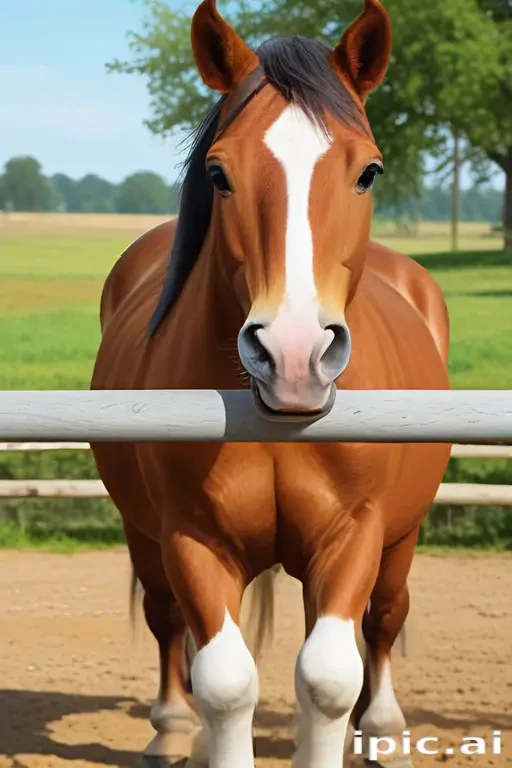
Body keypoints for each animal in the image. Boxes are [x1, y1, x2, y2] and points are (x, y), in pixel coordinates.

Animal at [90, 0, 451, 765]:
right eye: (219, 173)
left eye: (369, 172)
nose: (292, 356)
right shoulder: (191, 538)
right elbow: (225, 682)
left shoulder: (355, 533)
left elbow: (327, 677)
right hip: (145, 534)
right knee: (168, 622)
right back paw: (172, 728)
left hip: (398, 539)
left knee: (382, 619)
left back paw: (381, 727)